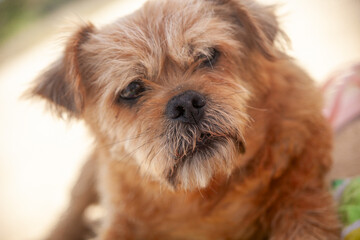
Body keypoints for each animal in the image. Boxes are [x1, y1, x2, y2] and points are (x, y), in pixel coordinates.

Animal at [30, 0, 340, 239]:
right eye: (131, 89)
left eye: (208, 55)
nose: (186, 104)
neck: (204, 192)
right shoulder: (121, 222)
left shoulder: (301, 195)